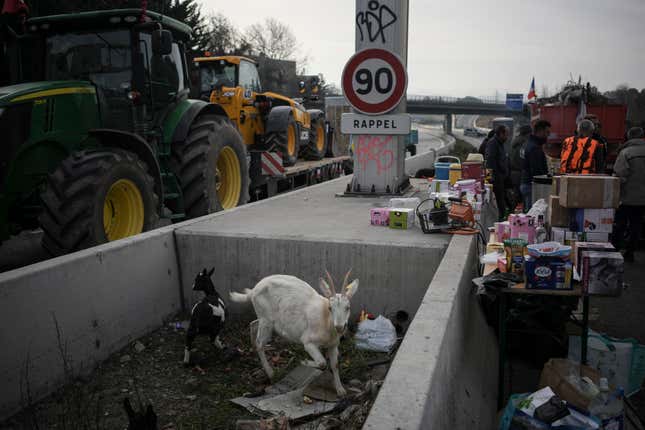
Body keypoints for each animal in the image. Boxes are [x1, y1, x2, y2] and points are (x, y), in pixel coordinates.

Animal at [229, 270, 358, 394]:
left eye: (348, 307)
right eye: (330, 308)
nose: (340, 327)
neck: (325, 319)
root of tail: (253, 291)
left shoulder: (333, 345)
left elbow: (335, 365)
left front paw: (341, 390)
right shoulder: (308, 342)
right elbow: (322, 362)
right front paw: (303, 361)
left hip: (264, 319)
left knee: (253, 324)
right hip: (266, 319)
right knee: (260, 343)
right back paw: (271, 373)